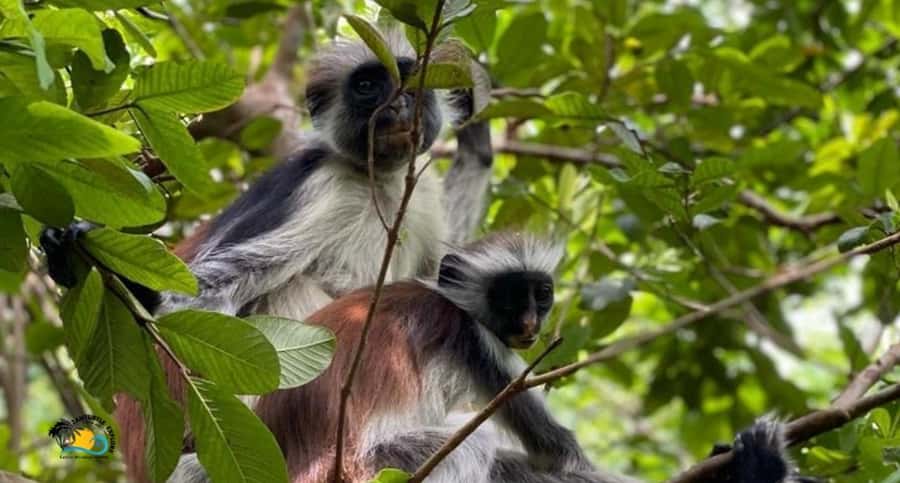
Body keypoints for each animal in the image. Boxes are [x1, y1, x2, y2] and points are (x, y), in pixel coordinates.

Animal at [168, 233, 809, 483]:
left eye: (540, 294)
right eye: (509, 297)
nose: (529, 323)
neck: (442, 295)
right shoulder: (479, 343)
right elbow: (561, 456)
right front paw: (756, 467)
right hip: (372, 467)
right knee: (474, 447)